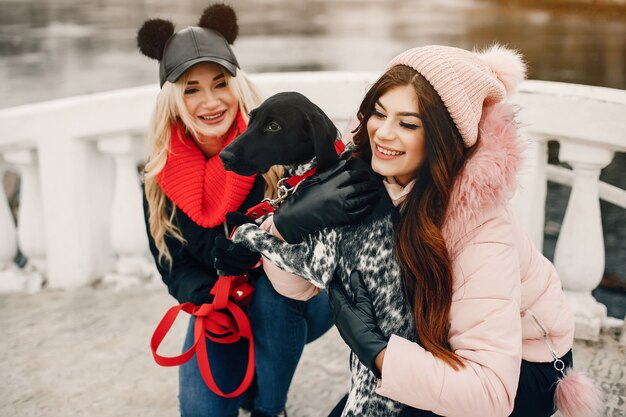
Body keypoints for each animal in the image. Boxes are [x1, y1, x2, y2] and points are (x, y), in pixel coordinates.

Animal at [219, 92, 414, 416]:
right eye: (252, 117)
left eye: (274, 126)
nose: (224, 156)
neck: (319, 171)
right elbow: (268, 220)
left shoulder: (314, 264)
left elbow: (259, 234)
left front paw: (239, 232)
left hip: (360, 405)